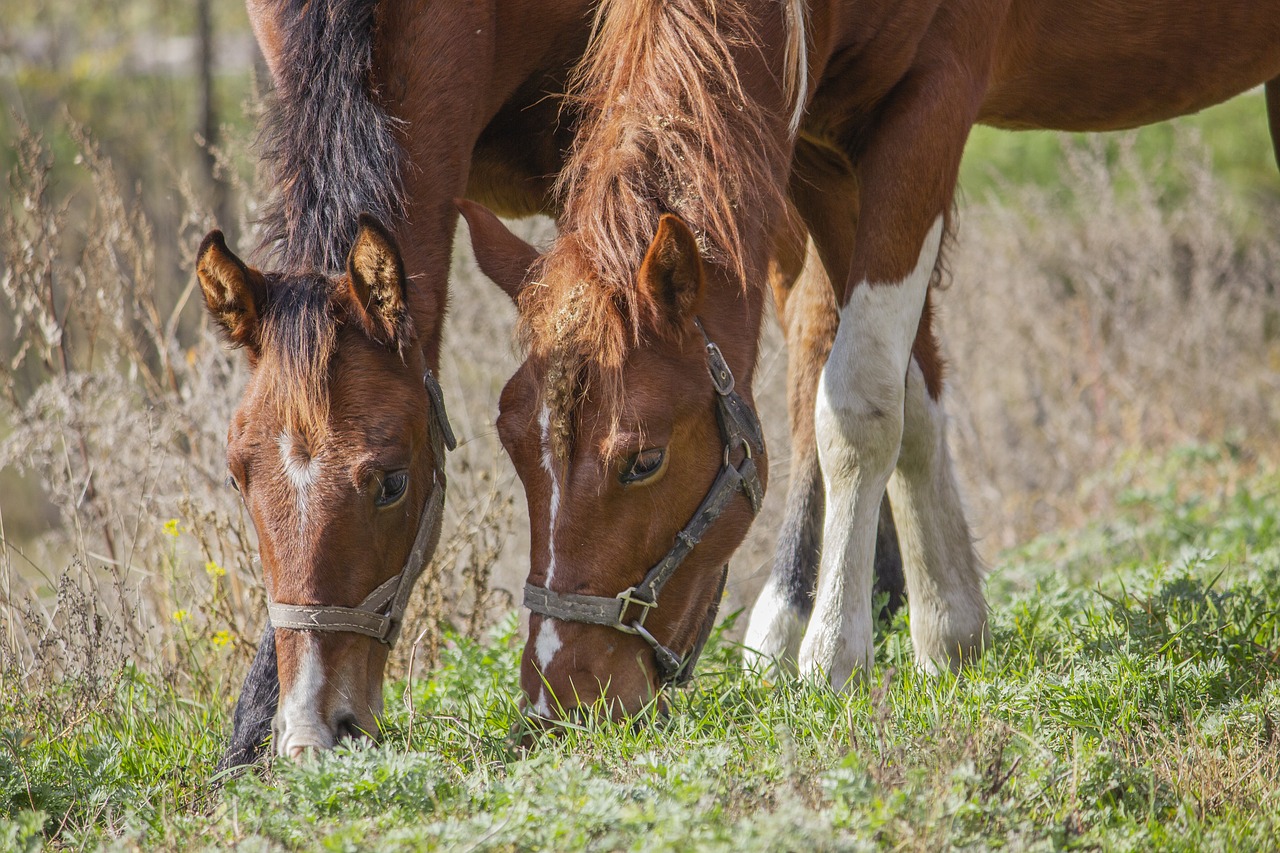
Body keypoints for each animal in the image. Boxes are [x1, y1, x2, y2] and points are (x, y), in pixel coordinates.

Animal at [460, 0, 1280, 717]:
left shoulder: (929, 109)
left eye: (644, 459)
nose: (559, 696)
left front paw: (832, 653)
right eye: (513, 446)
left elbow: (857, 402)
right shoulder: (822, 151)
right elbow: (908, 391)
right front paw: (949, 627)